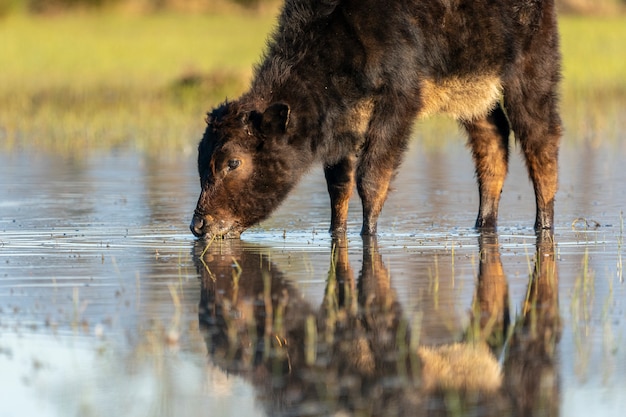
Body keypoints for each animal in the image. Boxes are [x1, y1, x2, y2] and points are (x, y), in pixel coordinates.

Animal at [188, 0, 560, 237]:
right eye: (201, 159)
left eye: (233, 162)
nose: (199, 225)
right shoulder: (344, 123)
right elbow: (339, 185)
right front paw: (336, 232)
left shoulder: (398, 102)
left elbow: (371, 178)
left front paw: (368, 233)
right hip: (475, 99)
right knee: (493, 147)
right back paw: (483, 225)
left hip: (531, 75)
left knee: (541, 143)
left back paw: (543, 225)